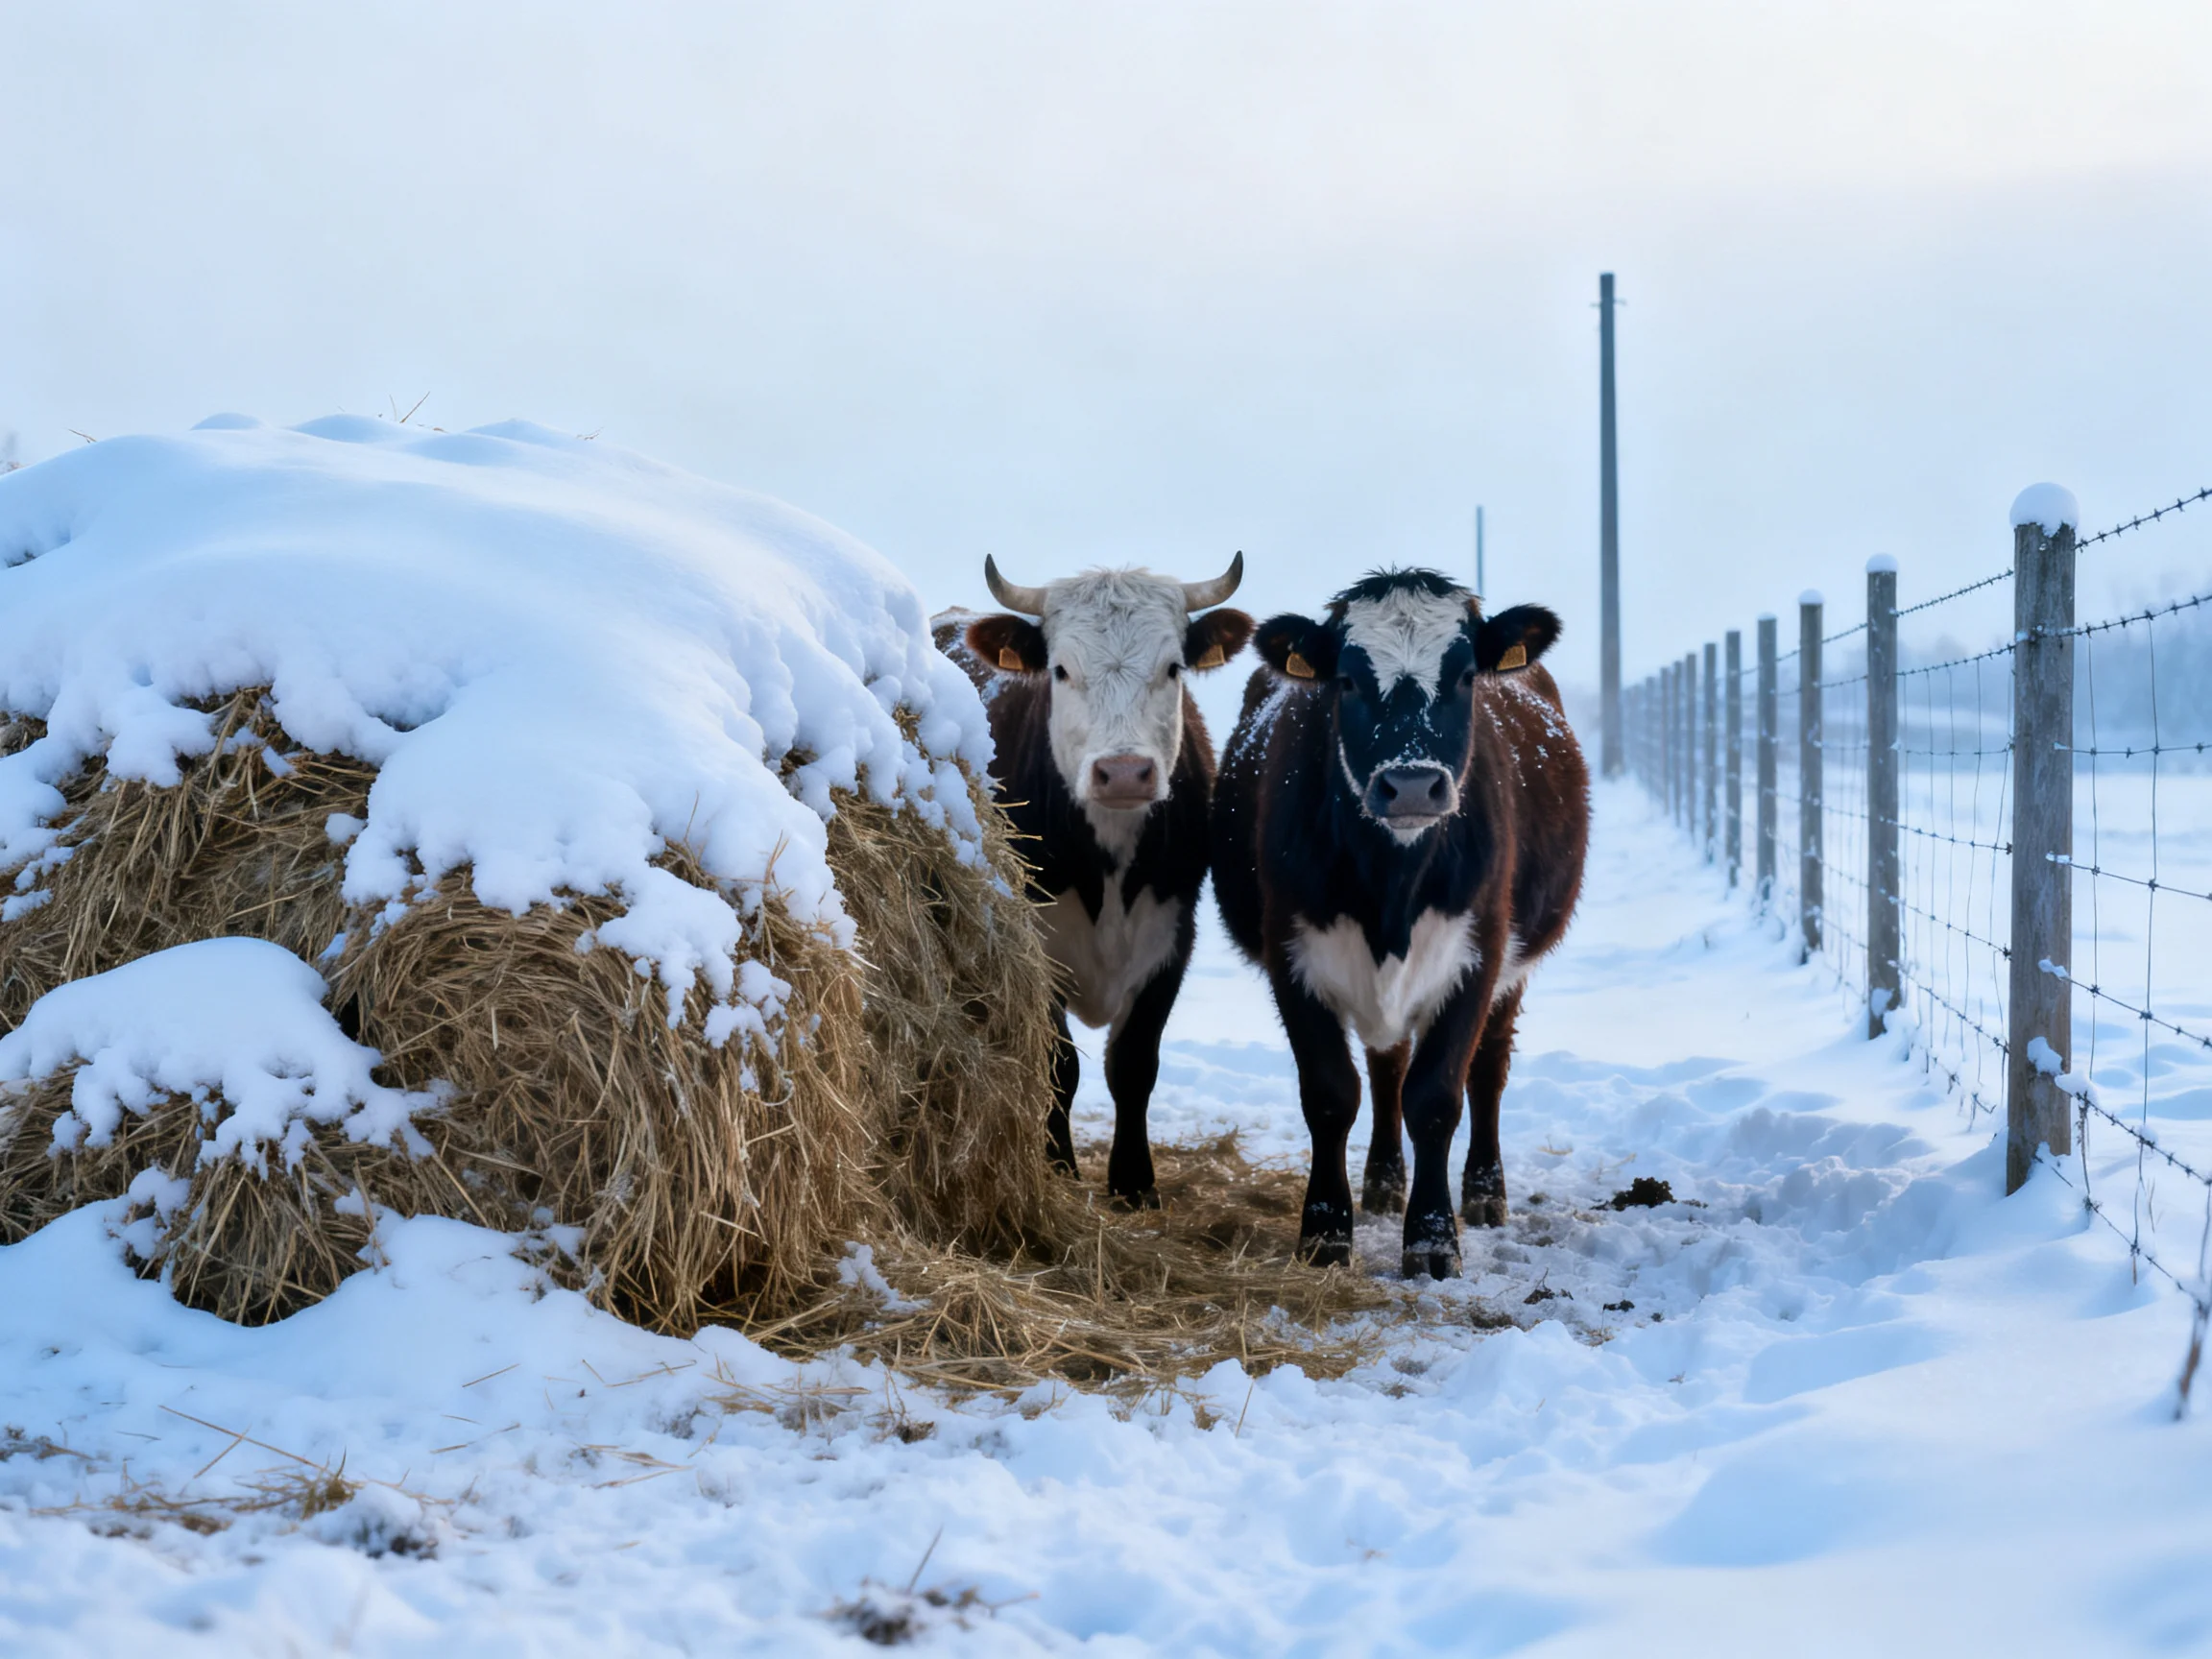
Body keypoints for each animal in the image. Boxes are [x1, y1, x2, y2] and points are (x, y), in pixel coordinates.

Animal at [936, 554, 1254, 1205]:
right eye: (1061, 669)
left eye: (1173, 666)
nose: (1125, 771)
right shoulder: (1038, 941)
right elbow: (1060, 1063)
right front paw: (1058, 1165)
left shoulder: (1172, 934)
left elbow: (1133, 1063)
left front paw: (1134, 1181)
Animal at [1211, 569, 1589, 1278]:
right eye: (1348, 680)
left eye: (1466, 676)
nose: (1411, 784)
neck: (1391, 886)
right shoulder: (1292, 956)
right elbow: (1332, 1094)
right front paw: (1325, 1232)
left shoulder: (1477, 955)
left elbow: (1437, 1097)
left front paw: (1435, 1242)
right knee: (1387, 1066)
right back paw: (1384, 1183)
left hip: (1514, 964)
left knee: (1488, 1070)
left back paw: (1485, 1193)